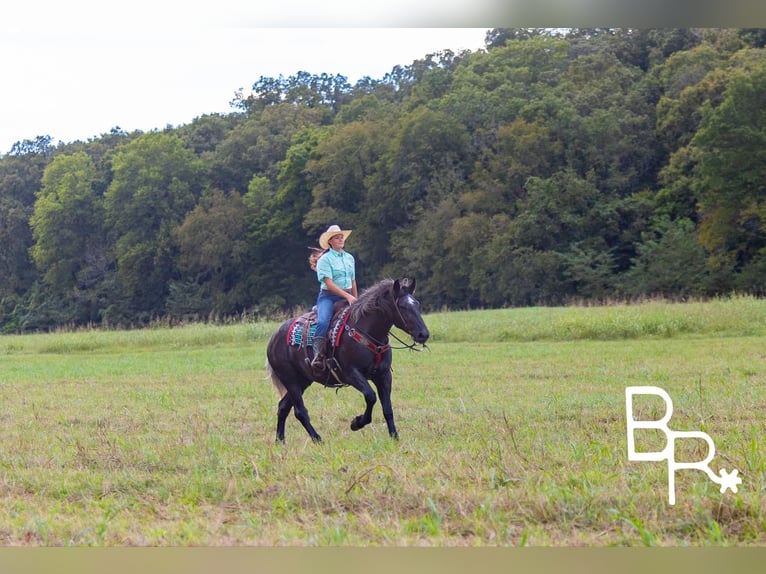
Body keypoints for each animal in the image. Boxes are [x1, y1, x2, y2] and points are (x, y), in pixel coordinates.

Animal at [266, 278, 430, 443]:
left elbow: (387, 408)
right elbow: (371, 397)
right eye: (402, 306)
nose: (423, 334)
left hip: (303, 380)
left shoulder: (383, 375)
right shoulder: (351, 374)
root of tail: (273, 338)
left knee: (283, 407)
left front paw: (394, 436)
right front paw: (356, 423)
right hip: (290, 379)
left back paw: (280, 441)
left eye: (416, 304)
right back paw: (318, 440)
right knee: (300, 411)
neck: (367, 332)